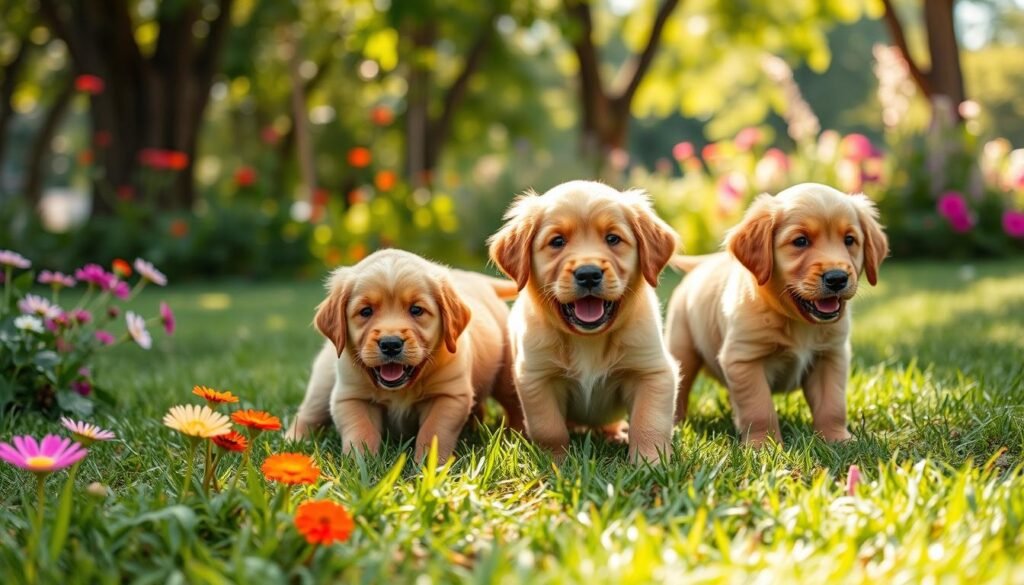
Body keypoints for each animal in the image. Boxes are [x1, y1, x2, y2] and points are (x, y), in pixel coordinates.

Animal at [288, 249, 528, 465]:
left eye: (416, 310)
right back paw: (293, 442)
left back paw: (518, 436)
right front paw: (360, 465)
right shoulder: (352, 396)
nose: (390, 344)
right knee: (309, 413)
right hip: (323, 381)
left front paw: (430, 467)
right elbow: (361, 431)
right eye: (366, 312)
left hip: (505, 375)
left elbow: (434, 431)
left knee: (513, 403)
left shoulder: (449, 395)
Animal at [491, 181, 684, 465]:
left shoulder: (652, 371)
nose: (589, 274)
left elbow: (649, 422)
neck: (588, 338)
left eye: (613, 239)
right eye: (557, 241)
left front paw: (650, 463)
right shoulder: (536, 377)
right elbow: (549, 428)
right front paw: (555, 463)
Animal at [663, 183, 888, 444]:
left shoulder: (830, 356)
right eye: (800, 241)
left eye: (849, 240)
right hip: (682, 349)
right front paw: (764, 444)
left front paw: (837, 439)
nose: (837, 278)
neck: (796, 320)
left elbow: (832, 405)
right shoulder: (744, 359)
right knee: (680, 388)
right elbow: (759, 408)